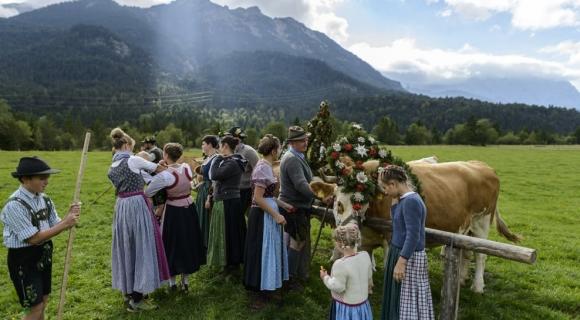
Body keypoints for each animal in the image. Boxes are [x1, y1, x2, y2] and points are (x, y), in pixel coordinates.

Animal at [312, 160, 520, 292]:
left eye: (362, 201)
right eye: (337, 202)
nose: (348, 231)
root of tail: (483, 165)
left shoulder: (391, 239)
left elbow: (390, 265)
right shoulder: (365, 241)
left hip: (482, 222)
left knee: (481, 256)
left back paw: (477, 286)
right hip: (465, 229)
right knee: (466, 253)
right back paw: (461, 280)